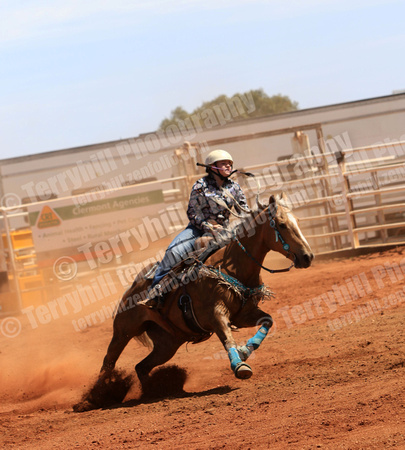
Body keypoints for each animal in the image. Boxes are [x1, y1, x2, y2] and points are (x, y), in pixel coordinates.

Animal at [79, 192, 312, 410]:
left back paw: (153, 391)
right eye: (282, 224)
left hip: (168, 343)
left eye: (298, 221)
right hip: (124, 330)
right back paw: (93, 398)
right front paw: (240, 367)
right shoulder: (215, 314)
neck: (231, 266)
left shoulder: (244, 314)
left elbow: (268, 321)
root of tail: (132, 289)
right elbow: (227, 337)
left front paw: (245, 351)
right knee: (108, 361)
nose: (307, 257)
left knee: (141, 367)